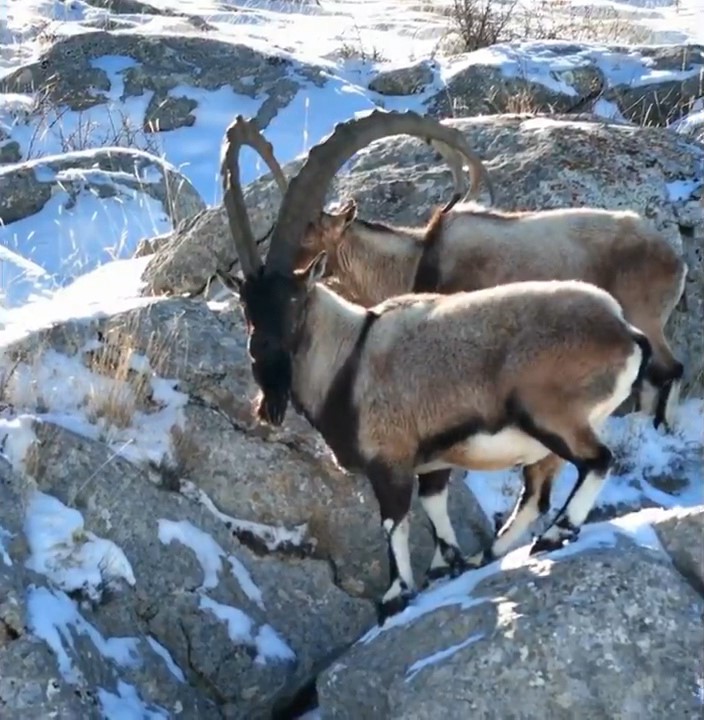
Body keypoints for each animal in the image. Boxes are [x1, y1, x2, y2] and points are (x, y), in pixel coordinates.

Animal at [217, 108, 652, 624]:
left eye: (292, 299)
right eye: (247, 305)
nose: (265, 367)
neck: (348, 355)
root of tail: (625, 332)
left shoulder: (390, 460)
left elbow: (393, 524)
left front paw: (396, 594)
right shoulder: (434, 462)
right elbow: (434, 507)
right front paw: (449, 563)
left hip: (552, 415)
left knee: (597, 461)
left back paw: (555, 534)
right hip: (546, 441)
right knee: (536, 492)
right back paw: (494, 551)